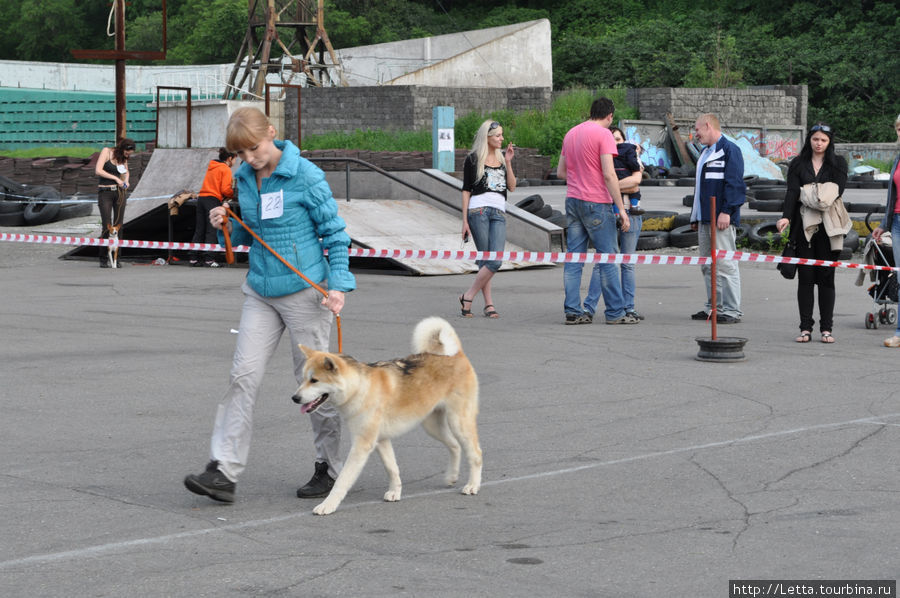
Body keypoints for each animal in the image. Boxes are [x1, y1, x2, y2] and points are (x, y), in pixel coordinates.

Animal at [292, 316, 482, 516]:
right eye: (303, 379)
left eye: (314, 380)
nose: (295, 398)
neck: (360, 387)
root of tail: (457, 354)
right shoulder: (381, 441)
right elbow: (392, 468)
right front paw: (395, 492)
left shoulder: (362, 445)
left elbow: (342, 480)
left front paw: (328, 505)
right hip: (432, 426)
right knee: (454, 446)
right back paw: (452, 476)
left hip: (459, 422)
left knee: (475, 453)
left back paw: (473, 485)